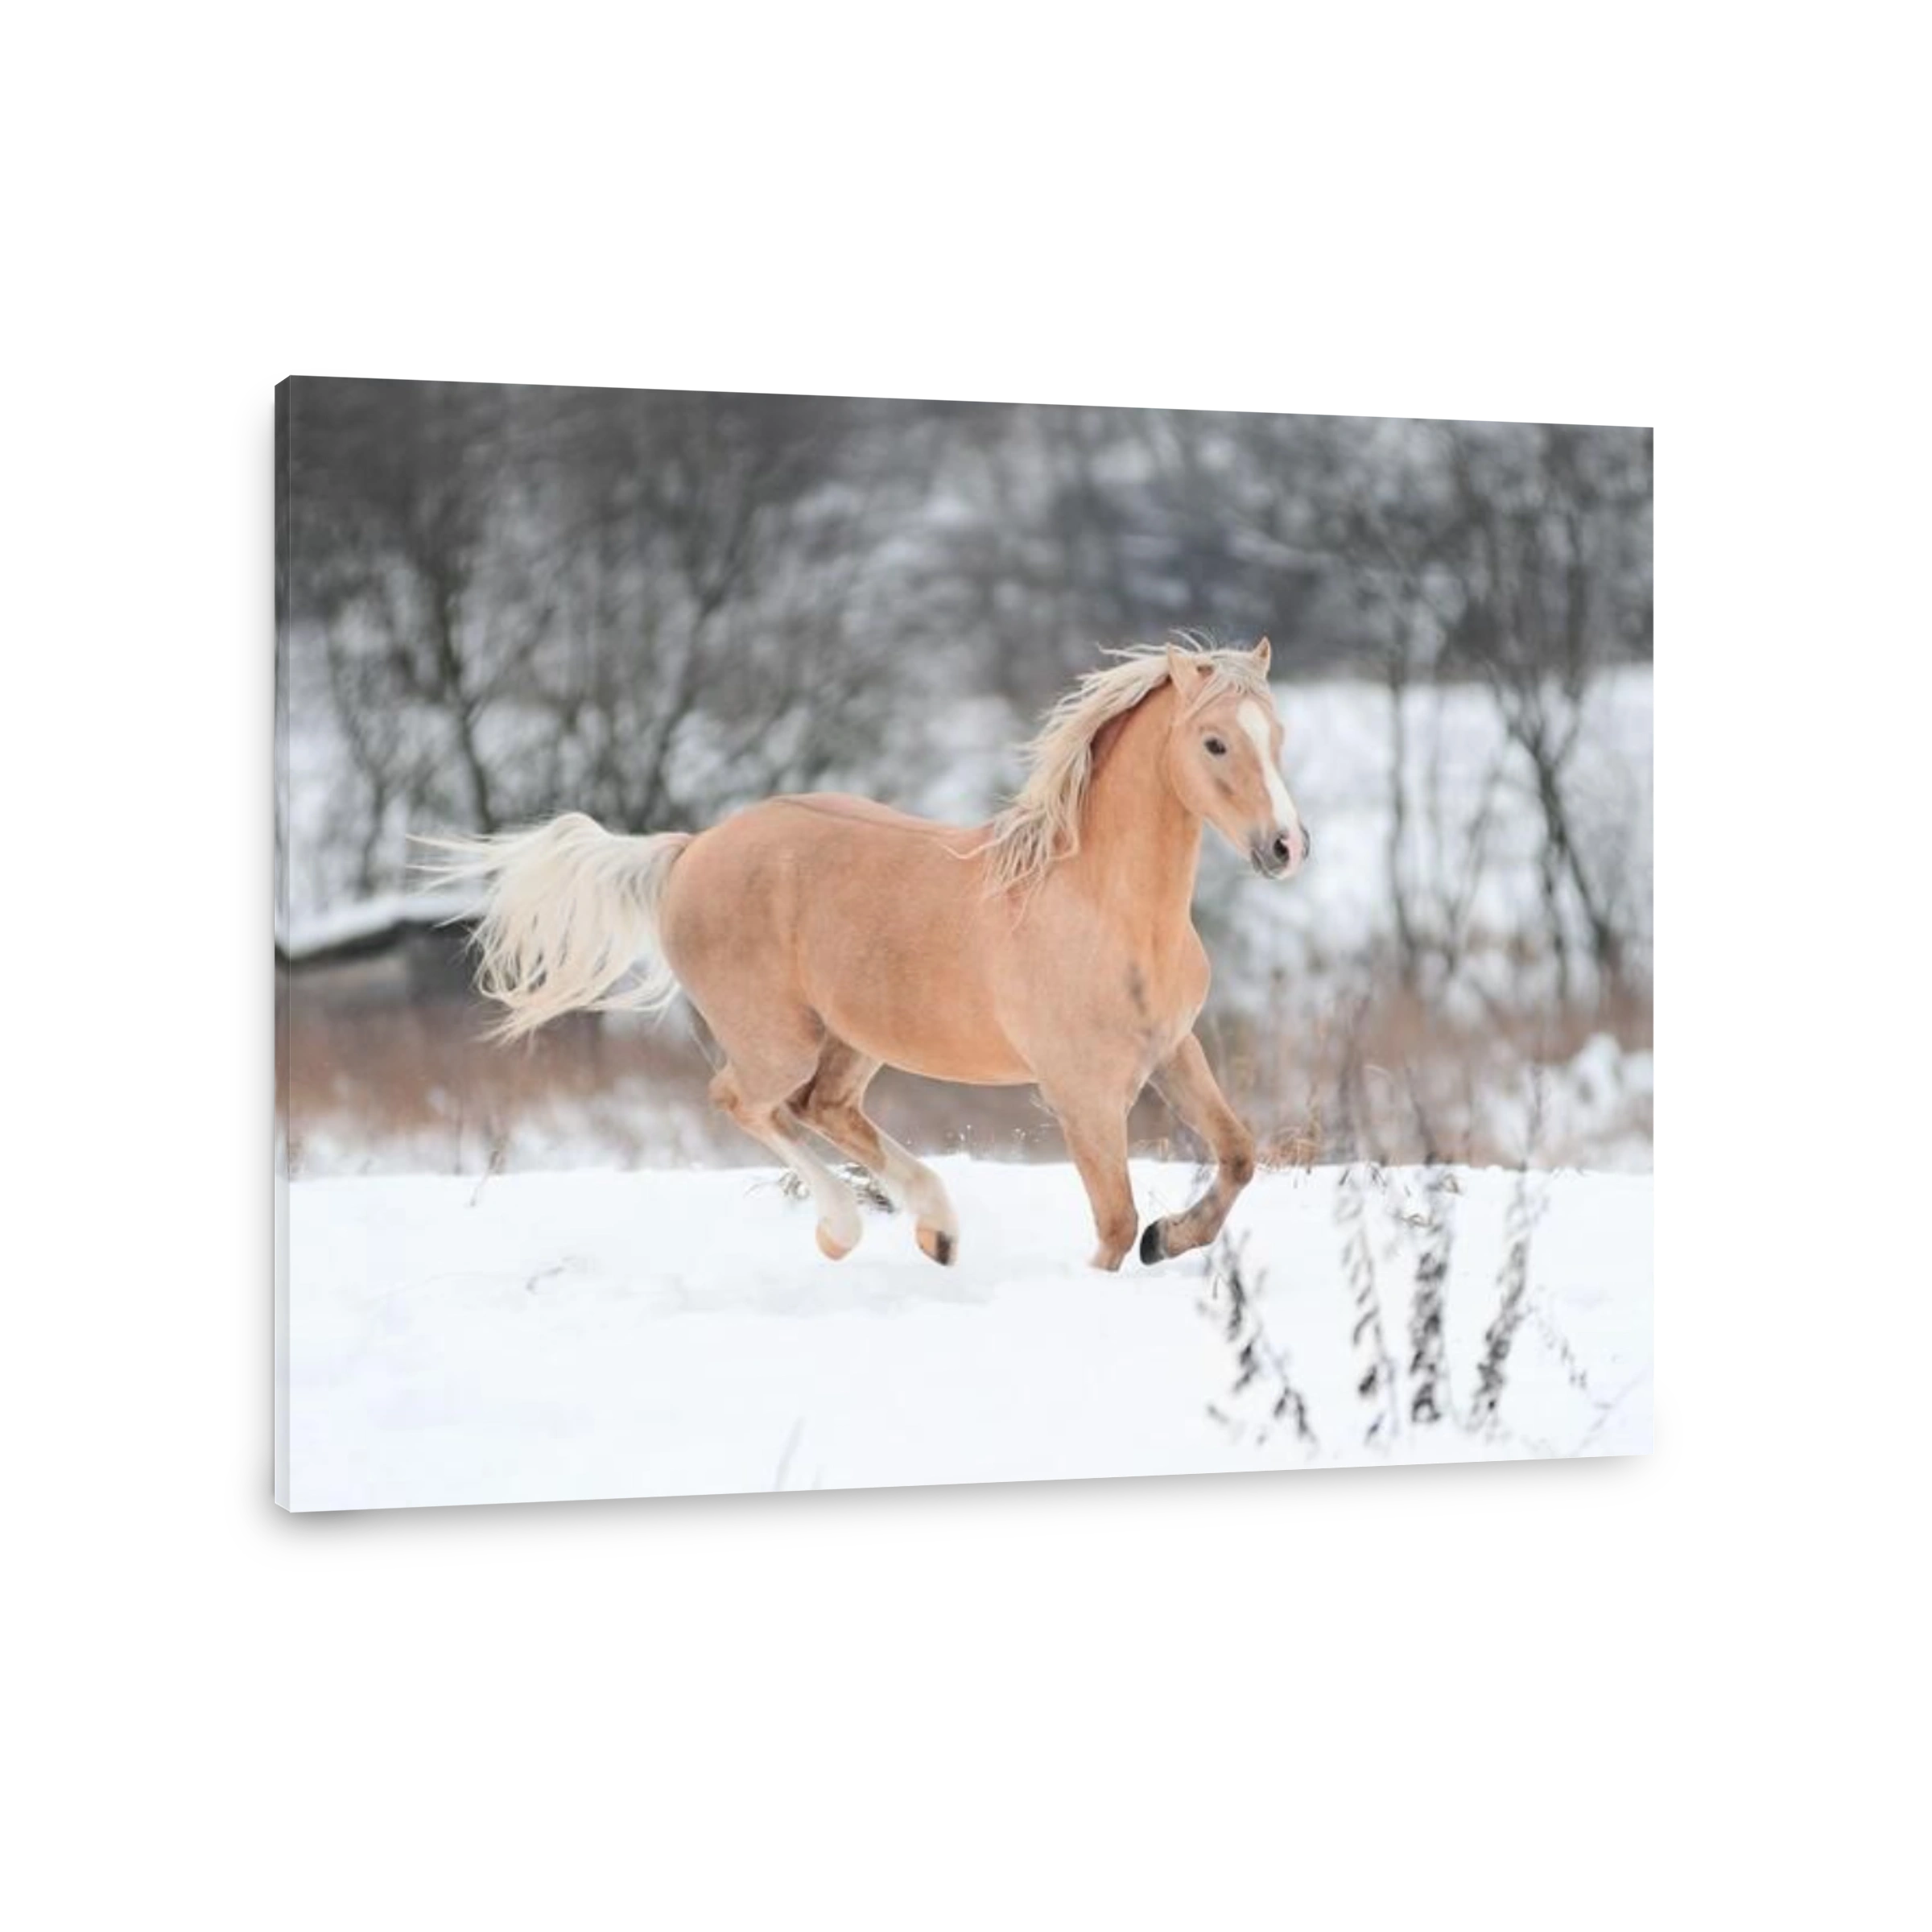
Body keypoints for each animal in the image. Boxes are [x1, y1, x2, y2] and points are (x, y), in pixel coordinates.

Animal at [422, 638, 1310, 1271]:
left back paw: (938, 1232)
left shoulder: (1172, 1051)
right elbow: (1114, 1222)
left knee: (826, 1109)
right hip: (776, 1040)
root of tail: (689, 849)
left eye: (1279, 737)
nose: (1285, 847)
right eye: (1214, 742)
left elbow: (1237, 1155)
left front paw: (1172, 1238)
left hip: (855, 1039)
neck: (1103, 907)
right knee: (744, 1101)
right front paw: (1123, 1261)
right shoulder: (1080, 1092)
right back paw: (846, 1231)